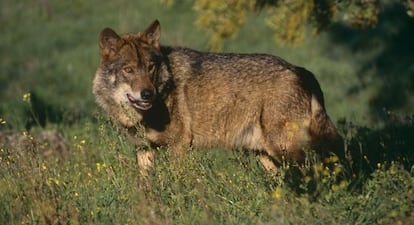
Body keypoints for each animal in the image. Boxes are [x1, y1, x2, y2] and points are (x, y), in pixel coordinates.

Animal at [92, 19, 344, 174]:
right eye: (129, 70)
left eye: (150, 67)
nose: (147, 94)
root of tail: (299, 70)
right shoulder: (143, 150)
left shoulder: (180, 146)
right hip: (264, 154)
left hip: (282, 150)